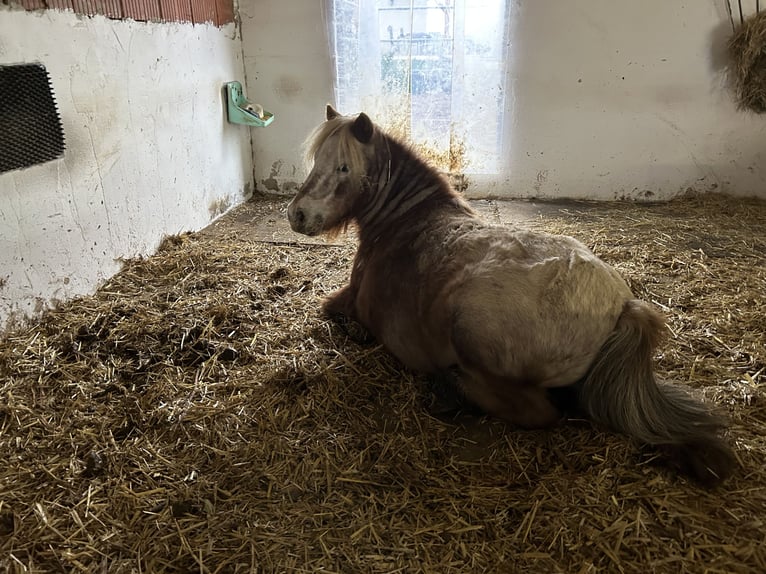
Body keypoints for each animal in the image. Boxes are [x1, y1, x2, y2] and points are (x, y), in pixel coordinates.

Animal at [287, 105, 735, 485]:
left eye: (343, 167)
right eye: (316, 162)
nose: (297, 215)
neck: (408, 223)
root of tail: (621, 306)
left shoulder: (349, 301)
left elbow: (330, 310)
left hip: (471, 329)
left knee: (537, 412)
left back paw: (452, 389)